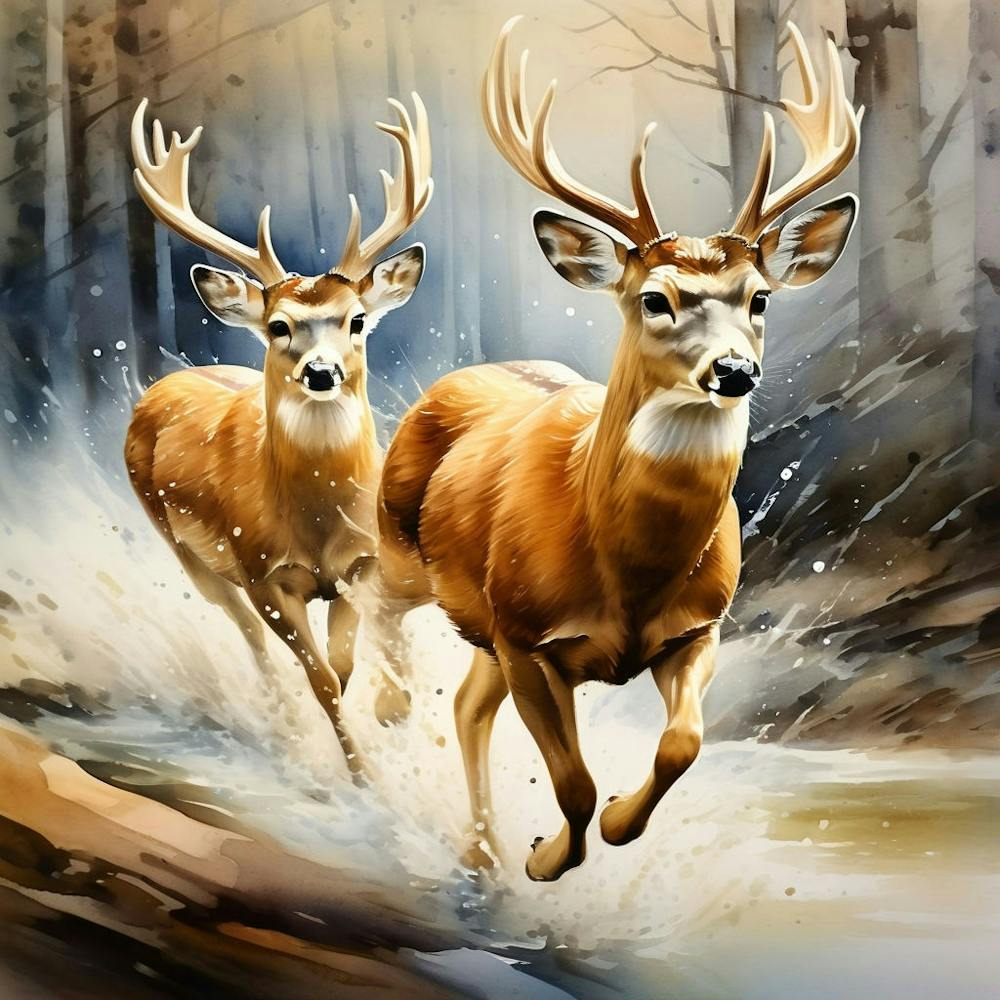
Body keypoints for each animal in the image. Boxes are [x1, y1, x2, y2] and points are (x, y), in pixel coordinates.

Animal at [124, 94, 433, 778]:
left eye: (358, 319)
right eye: (277, 326)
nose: (321, 372)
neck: (316, 523)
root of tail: (165, 383)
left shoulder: (362, 564)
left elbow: (343, 667)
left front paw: (384, 730)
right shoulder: (265, 574)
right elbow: (320, 679)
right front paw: (361, 776)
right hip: (187, 551)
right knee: (246, 635)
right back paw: (280, 723)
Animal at [370, 18, 861, 879]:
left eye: (761, 298)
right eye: (655, 298)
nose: (734, 371)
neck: (627, 571)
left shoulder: (697, 629)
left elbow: (681, 745)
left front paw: (615, 825)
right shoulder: (527, 635)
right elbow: (572, 781)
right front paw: (545, 858)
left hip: (481, 627)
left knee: (465, 705)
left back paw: (479, 850)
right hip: (405, 547)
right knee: (367, 596)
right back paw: (388, 708)